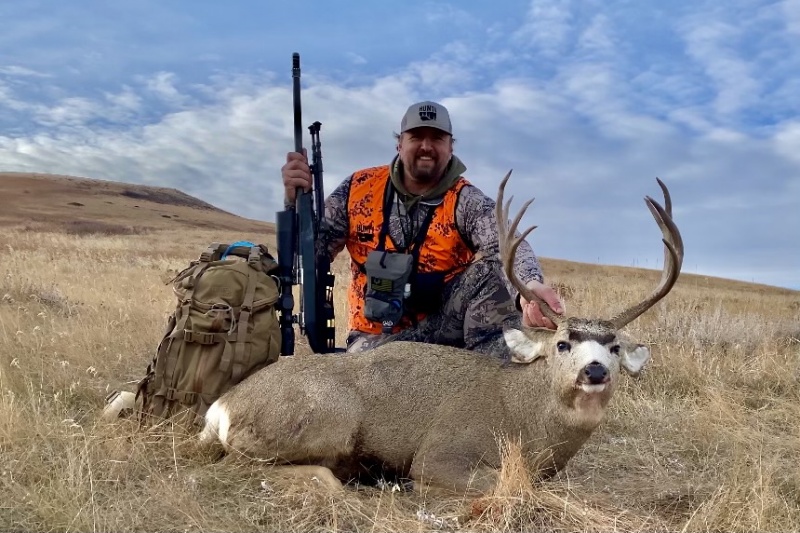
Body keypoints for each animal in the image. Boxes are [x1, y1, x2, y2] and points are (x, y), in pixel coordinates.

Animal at [198, 172, 684, 495]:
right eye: (562, 344)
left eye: (614, 347)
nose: (595, 371)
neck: (524, 419)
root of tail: (221, 408)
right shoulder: (441, 453)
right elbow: (509, 482)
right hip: (330, 417)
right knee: (238, 464)